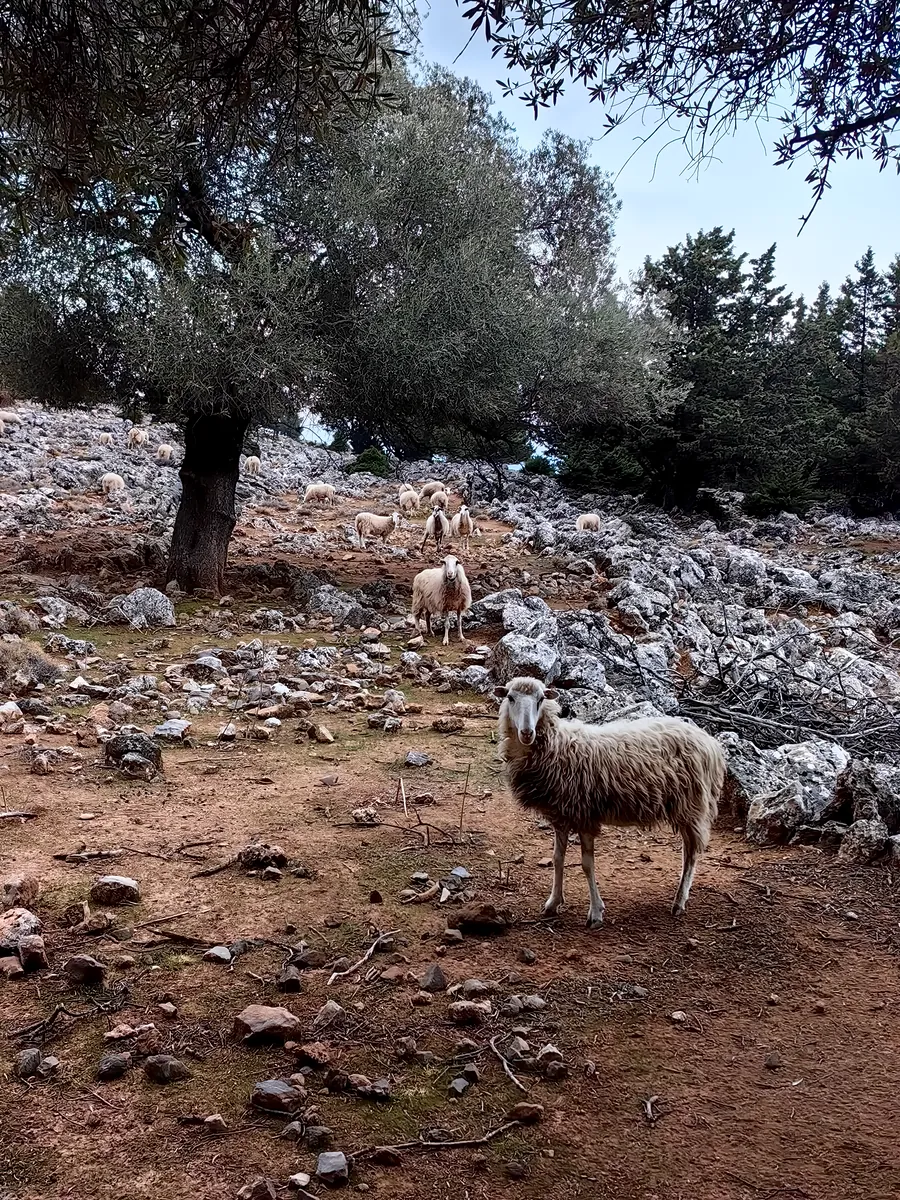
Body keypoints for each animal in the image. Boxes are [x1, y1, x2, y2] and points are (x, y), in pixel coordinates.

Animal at [496, 676, 725, 927]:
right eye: (510, 698)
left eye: (540, 699)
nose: (527, 732)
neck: (557, 746)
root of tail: (709, 741)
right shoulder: (561, 815)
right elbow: (557, 859)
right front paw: (553, 903)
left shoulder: (584, 815)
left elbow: (587, 865)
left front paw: (596, 912)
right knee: (687, 852)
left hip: (692, 806)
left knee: (691, 854)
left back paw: (679, 901)